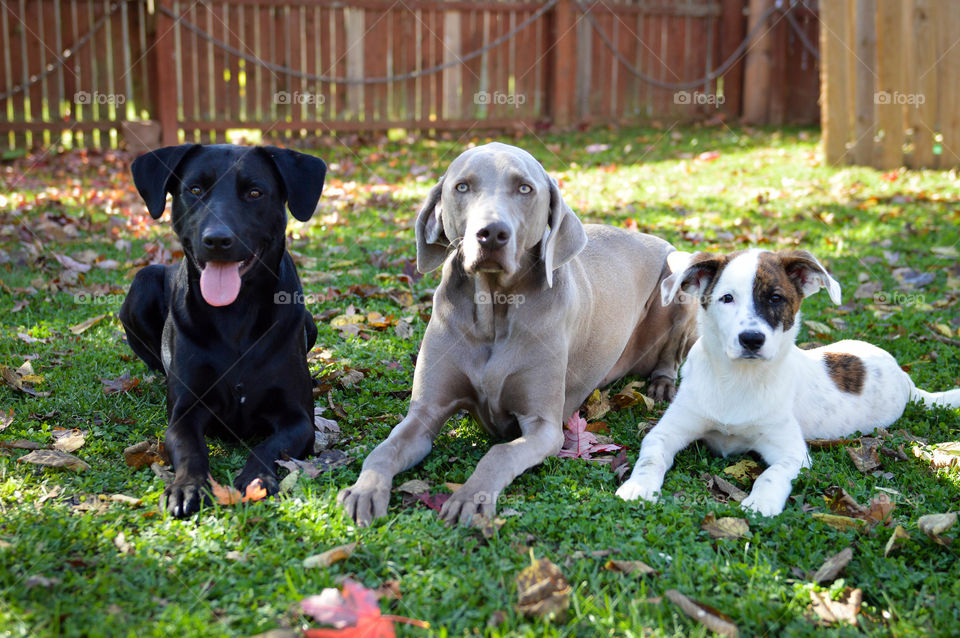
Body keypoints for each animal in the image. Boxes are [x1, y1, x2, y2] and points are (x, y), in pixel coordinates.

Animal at [118, 145, 322, 520]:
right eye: (195, 189)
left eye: (254, 192)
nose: (217, 240)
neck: (234, 313)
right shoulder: (184, 413)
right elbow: (190, 450)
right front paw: (187, 486)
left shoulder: (298, 419)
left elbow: (269, 446)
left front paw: (256, 480)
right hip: (142, 281)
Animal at [340, 142, 696, 528]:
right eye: (462, 186)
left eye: (525, 188)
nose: (492, 233)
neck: (494, 311)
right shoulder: (424, 413)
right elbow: (384, 449)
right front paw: (364, 490)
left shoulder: (544, 427)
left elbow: (499, 453)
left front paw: (471, 496)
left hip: (681, 271)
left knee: (672, 355)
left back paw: (662, 384)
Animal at [616, 250, 960, 520]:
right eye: (727, 298)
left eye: (775, 298)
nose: (751, 339)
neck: (739, 379)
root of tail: (905, 378)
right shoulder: (666, 432)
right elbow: (650, 457)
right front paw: (638, 486)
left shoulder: (792, 452)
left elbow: (771, 475)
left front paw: (761, 503)